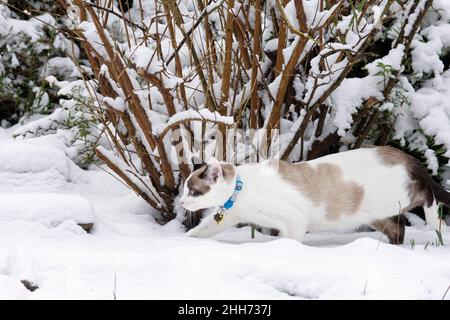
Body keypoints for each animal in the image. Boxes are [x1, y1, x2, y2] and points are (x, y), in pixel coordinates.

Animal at [181, 146, 448, 244]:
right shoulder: (227, 218)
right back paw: (396, 248)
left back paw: (437, 225)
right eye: (185, 190)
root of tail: (404, 155)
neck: (240, 190)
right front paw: (181, 243)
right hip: (375, 215)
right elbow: (198, 232)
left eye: (193, 192)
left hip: (402, 196)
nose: (182, 202)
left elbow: (290, 242)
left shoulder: (295, 220)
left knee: (429, 197)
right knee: (398, 228)